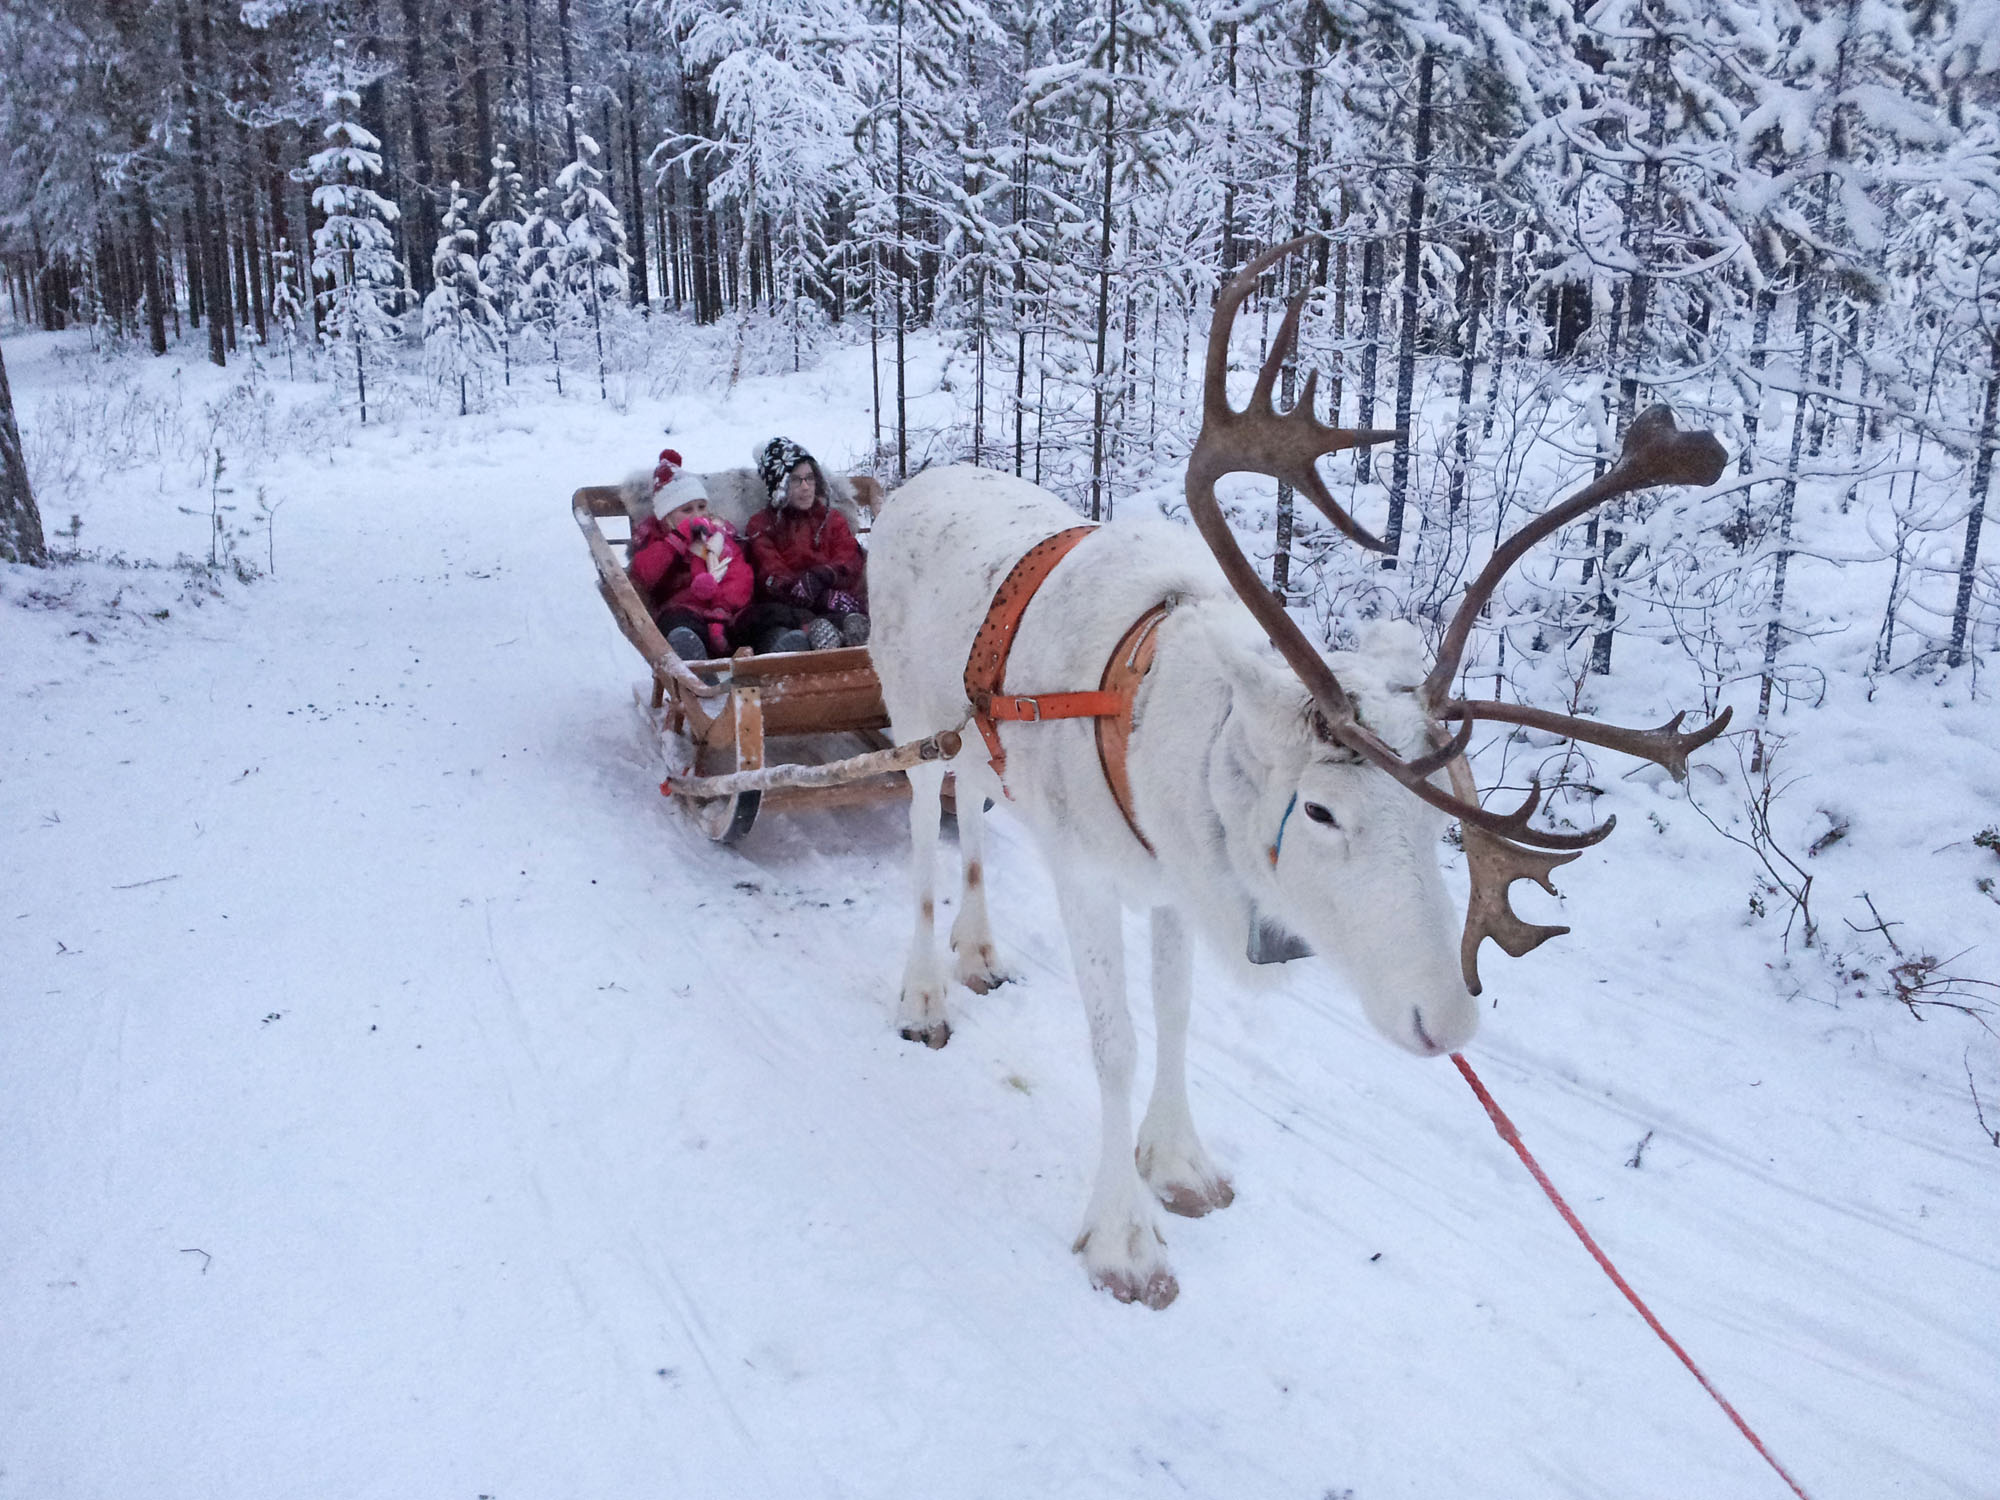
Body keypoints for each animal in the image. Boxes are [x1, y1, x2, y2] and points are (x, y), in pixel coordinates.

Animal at [865, 239, 1729, 1308]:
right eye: (1318, 811)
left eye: (1440, 823)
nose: (1449, 1021)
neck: (1149, 727)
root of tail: (902, 486)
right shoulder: (1088, 872)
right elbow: (1116, 1044)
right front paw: (1124, 1241)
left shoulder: (1168, 880)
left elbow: (1177, 1015)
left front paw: (1182, 1166)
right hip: (910, 719)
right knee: (921, 833)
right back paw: (923, 997)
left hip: (979, 746)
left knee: (977, 808)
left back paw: (979, 954)